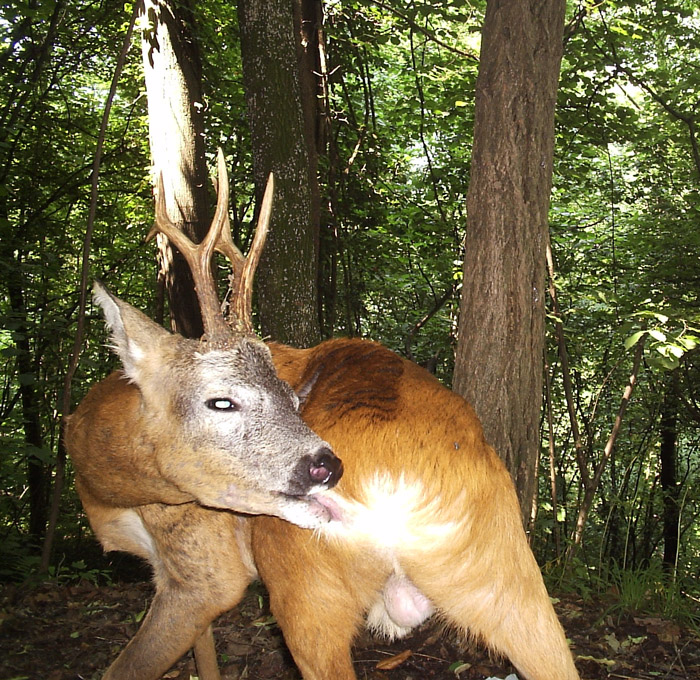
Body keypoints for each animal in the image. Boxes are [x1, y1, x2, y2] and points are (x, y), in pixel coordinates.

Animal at [67, 154, 580, 680]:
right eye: (222, 401)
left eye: (294, 401)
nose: (324, 467)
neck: (104, 480)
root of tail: (401, 479)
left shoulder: (200, 569)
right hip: (502, 570)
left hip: (304, 585)